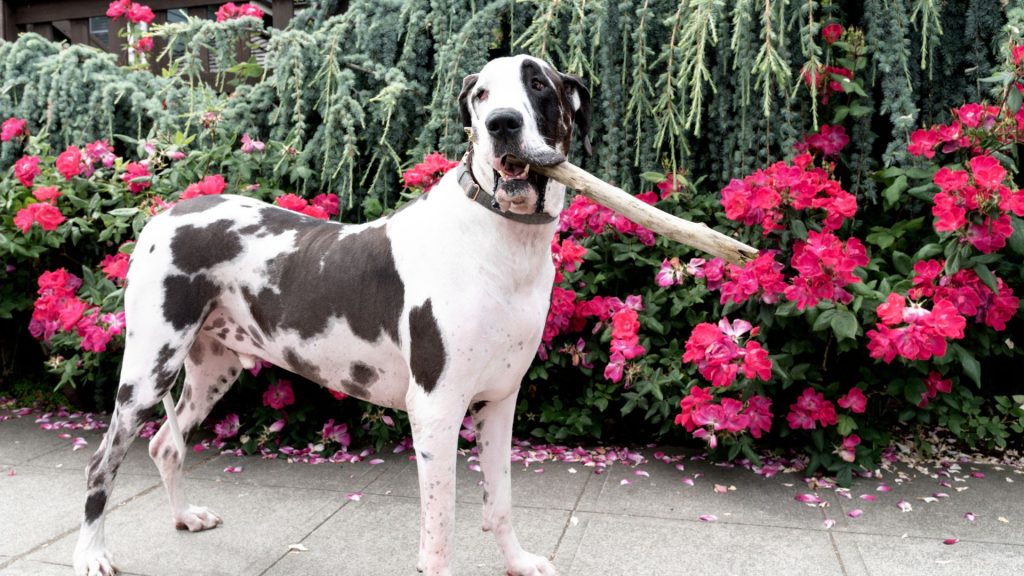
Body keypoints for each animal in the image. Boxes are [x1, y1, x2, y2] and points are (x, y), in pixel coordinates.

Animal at [74, 54, 593, 573]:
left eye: (538, 84)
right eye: (482, 94)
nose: (501, 123)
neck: (505, 241)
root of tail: (164, 215)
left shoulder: (500, 399)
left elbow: (500, 501)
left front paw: (519, 562)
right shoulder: (436, 408)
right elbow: (440, 526)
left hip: (211, 370)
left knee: (165, 444)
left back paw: (184, 516)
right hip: (148, 370)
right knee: (101, 463)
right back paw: (92, 553)